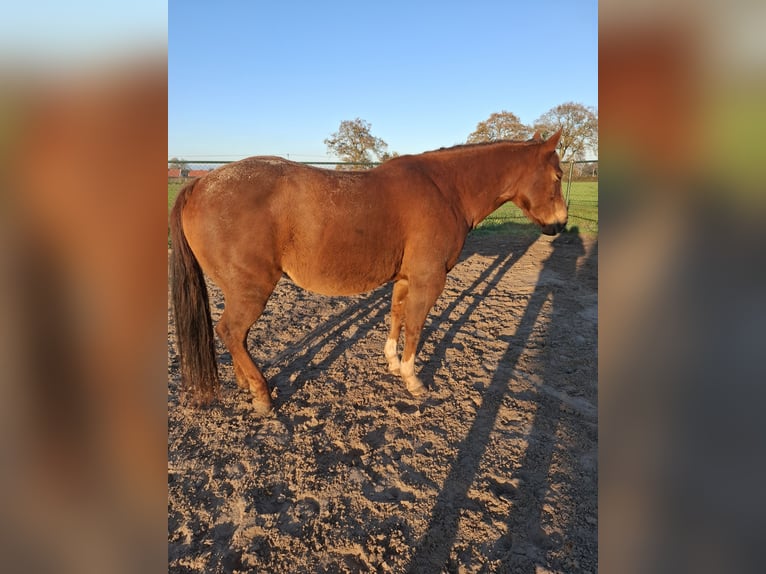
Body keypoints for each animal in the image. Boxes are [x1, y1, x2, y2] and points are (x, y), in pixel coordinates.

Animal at [170, 129, 567, 415]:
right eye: (558, 176)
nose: (560, 224)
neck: (445, 189)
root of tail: (201, 183)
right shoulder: (429, 280)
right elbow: (415, 327)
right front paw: (412, 378)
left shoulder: (405, 279)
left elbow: (396, 317)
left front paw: (392, 362)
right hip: (251, 288)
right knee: (231, 331)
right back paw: (263, 394)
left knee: (237, 337)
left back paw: (246, 384)